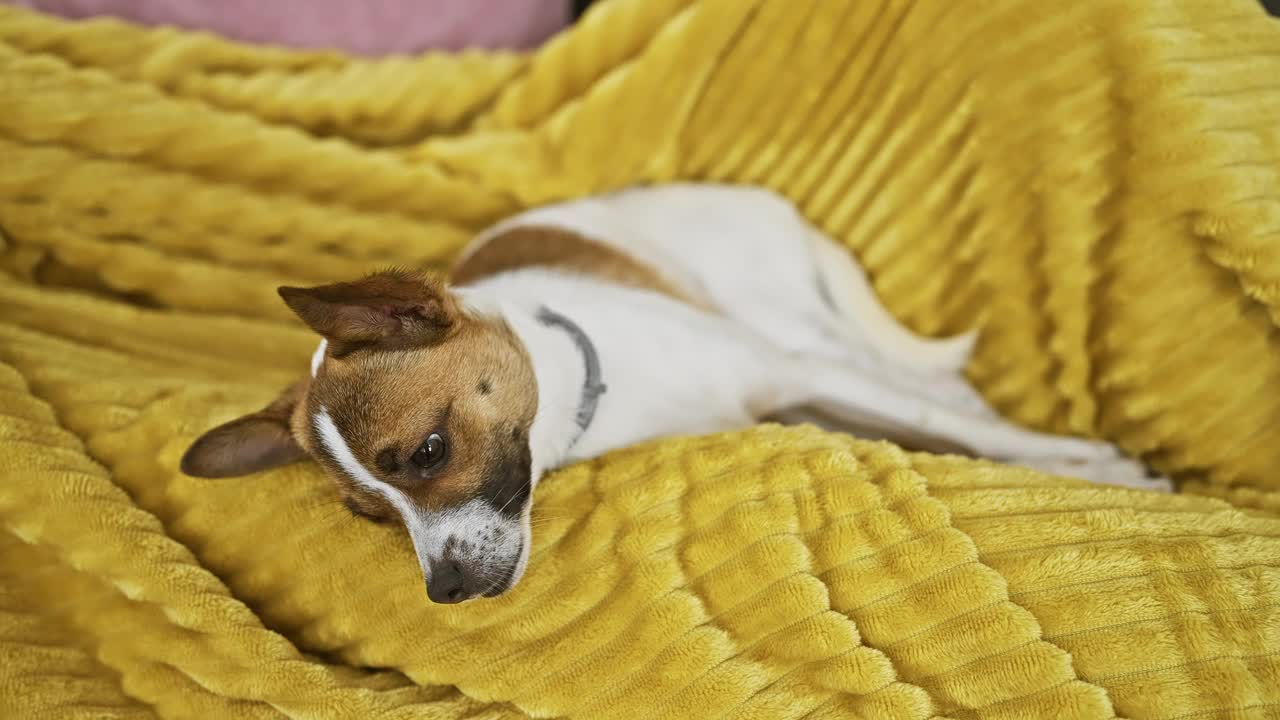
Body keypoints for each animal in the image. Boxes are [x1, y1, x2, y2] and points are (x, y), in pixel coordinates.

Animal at [180, 181, 1172, 602]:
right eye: (370, 518)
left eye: (428, 452)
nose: (446, 592)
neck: (594, 392)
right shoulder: (804, 398)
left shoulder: (798, 370)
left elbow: (962, 428)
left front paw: (1089, 468)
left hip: (796, 318)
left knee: (924, 382)